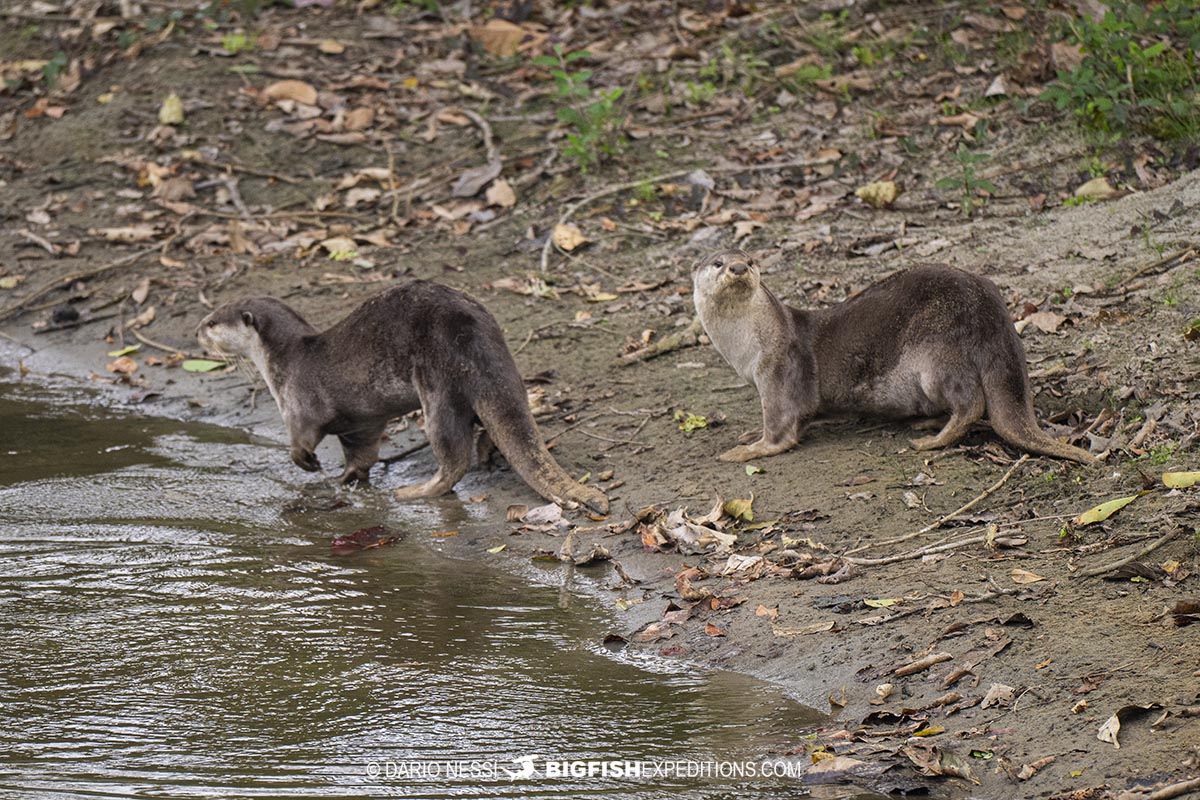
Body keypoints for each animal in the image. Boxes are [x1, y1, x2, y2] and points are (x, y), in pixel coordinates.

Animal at [197, 280, 609, 513]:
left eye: (213, 321)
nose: (196, 331)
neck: (286, 358)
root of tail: (475, 336)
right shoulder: (363, 422)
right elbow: (361, 452)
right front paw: (346, 479)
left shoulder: (298, 403)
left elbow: (301, 441)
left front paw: (310, 465)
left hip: (438, 384)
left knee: (453, 456)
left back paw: (414, 492)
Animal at [692, 249, 1096, 464]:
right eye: (717, 262)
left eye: (750, 260)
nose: (738, 268)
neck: (748, 348)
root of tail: (991, 306)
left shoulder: (779, 370)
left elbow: (781, 430)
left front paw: (745, 449)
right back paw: (927, 424)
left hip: (935, 351)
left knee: (972, 402)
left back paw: (929, 441)